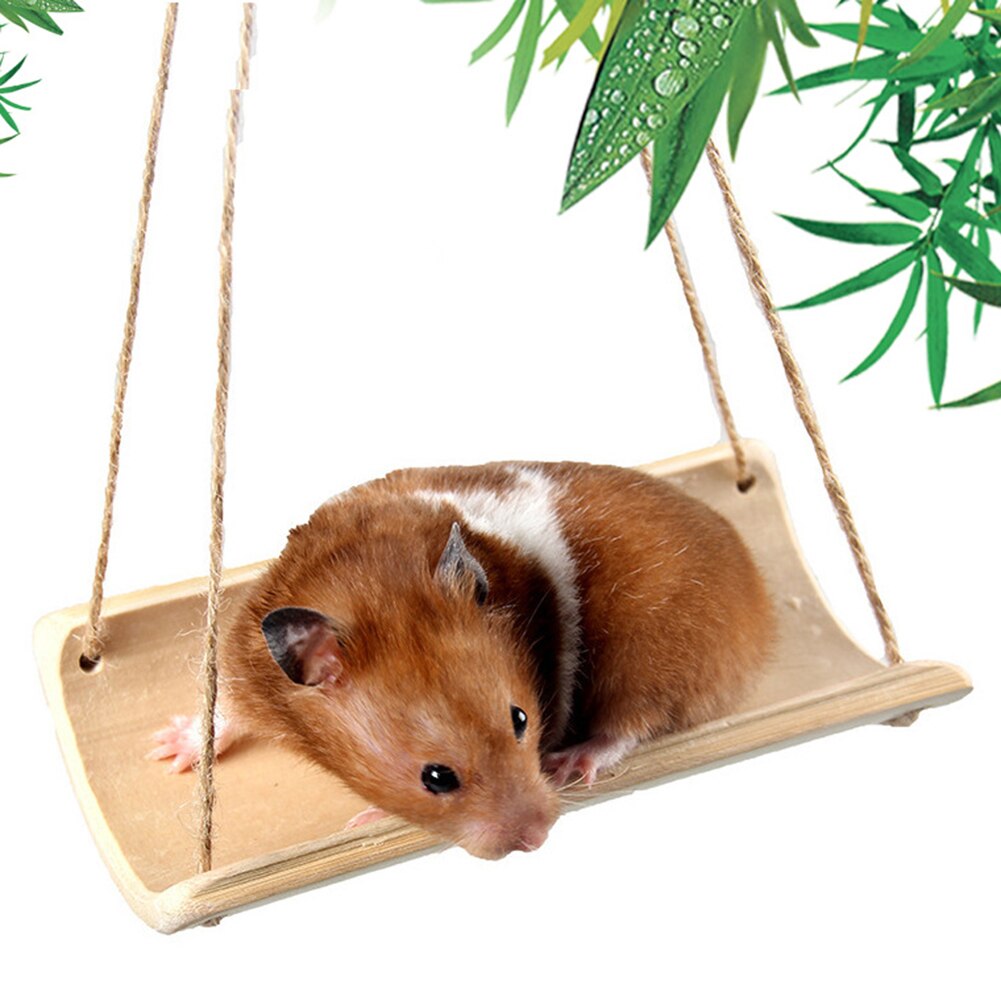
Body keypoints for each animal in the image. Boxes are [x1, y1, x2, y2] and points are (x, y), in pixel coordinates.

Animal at [151, 460, 774, 859]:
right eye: (436, 778)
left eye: (521, 719)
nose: (539, 838)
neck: (370, 587)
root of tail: (757, 596)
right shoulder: (245, 666)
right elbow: (223, 713)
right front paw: (166, 752)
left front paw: (368, 817)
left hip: (654, 655)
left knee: (631, 723)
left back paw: (572, 762)